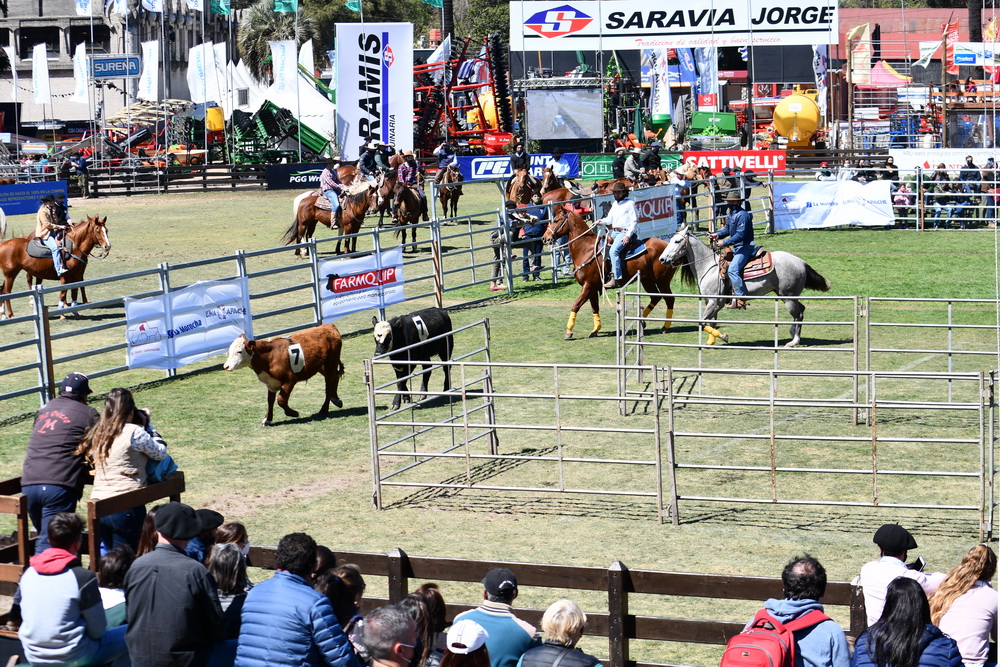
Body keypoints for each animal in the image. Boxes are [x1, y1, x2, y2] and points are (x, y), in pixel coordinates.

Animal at [542, 209, 676, 340]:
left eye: (556, 220)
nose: (544, 238)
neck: (586, 249)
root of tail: (666, 246)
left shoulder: (588, 286)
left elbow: (576, 305)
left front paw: (569, 331)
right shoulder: (592, 288)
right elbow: (595, 308)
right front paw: (595, 330)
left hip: (662, 281)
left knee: (669, 299)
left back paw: (664, 327)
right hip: (647, 280)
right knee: (655, 297)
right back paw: (642, 320)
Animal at [657, 224, 831, 347]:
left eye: (677, 241)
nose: (662, 259)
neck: (709, 266)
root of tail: (801, 262)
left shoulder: (715, 302)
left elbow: (703, 322)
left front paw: (723, 337)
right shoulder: (711, 302)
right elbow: (711, 323)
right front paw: (711, 341)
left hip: (788, 297)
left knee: (798, 314)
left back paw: (794, 341)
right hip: (787, 296)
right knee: (801, 310)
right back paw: (792, 333)